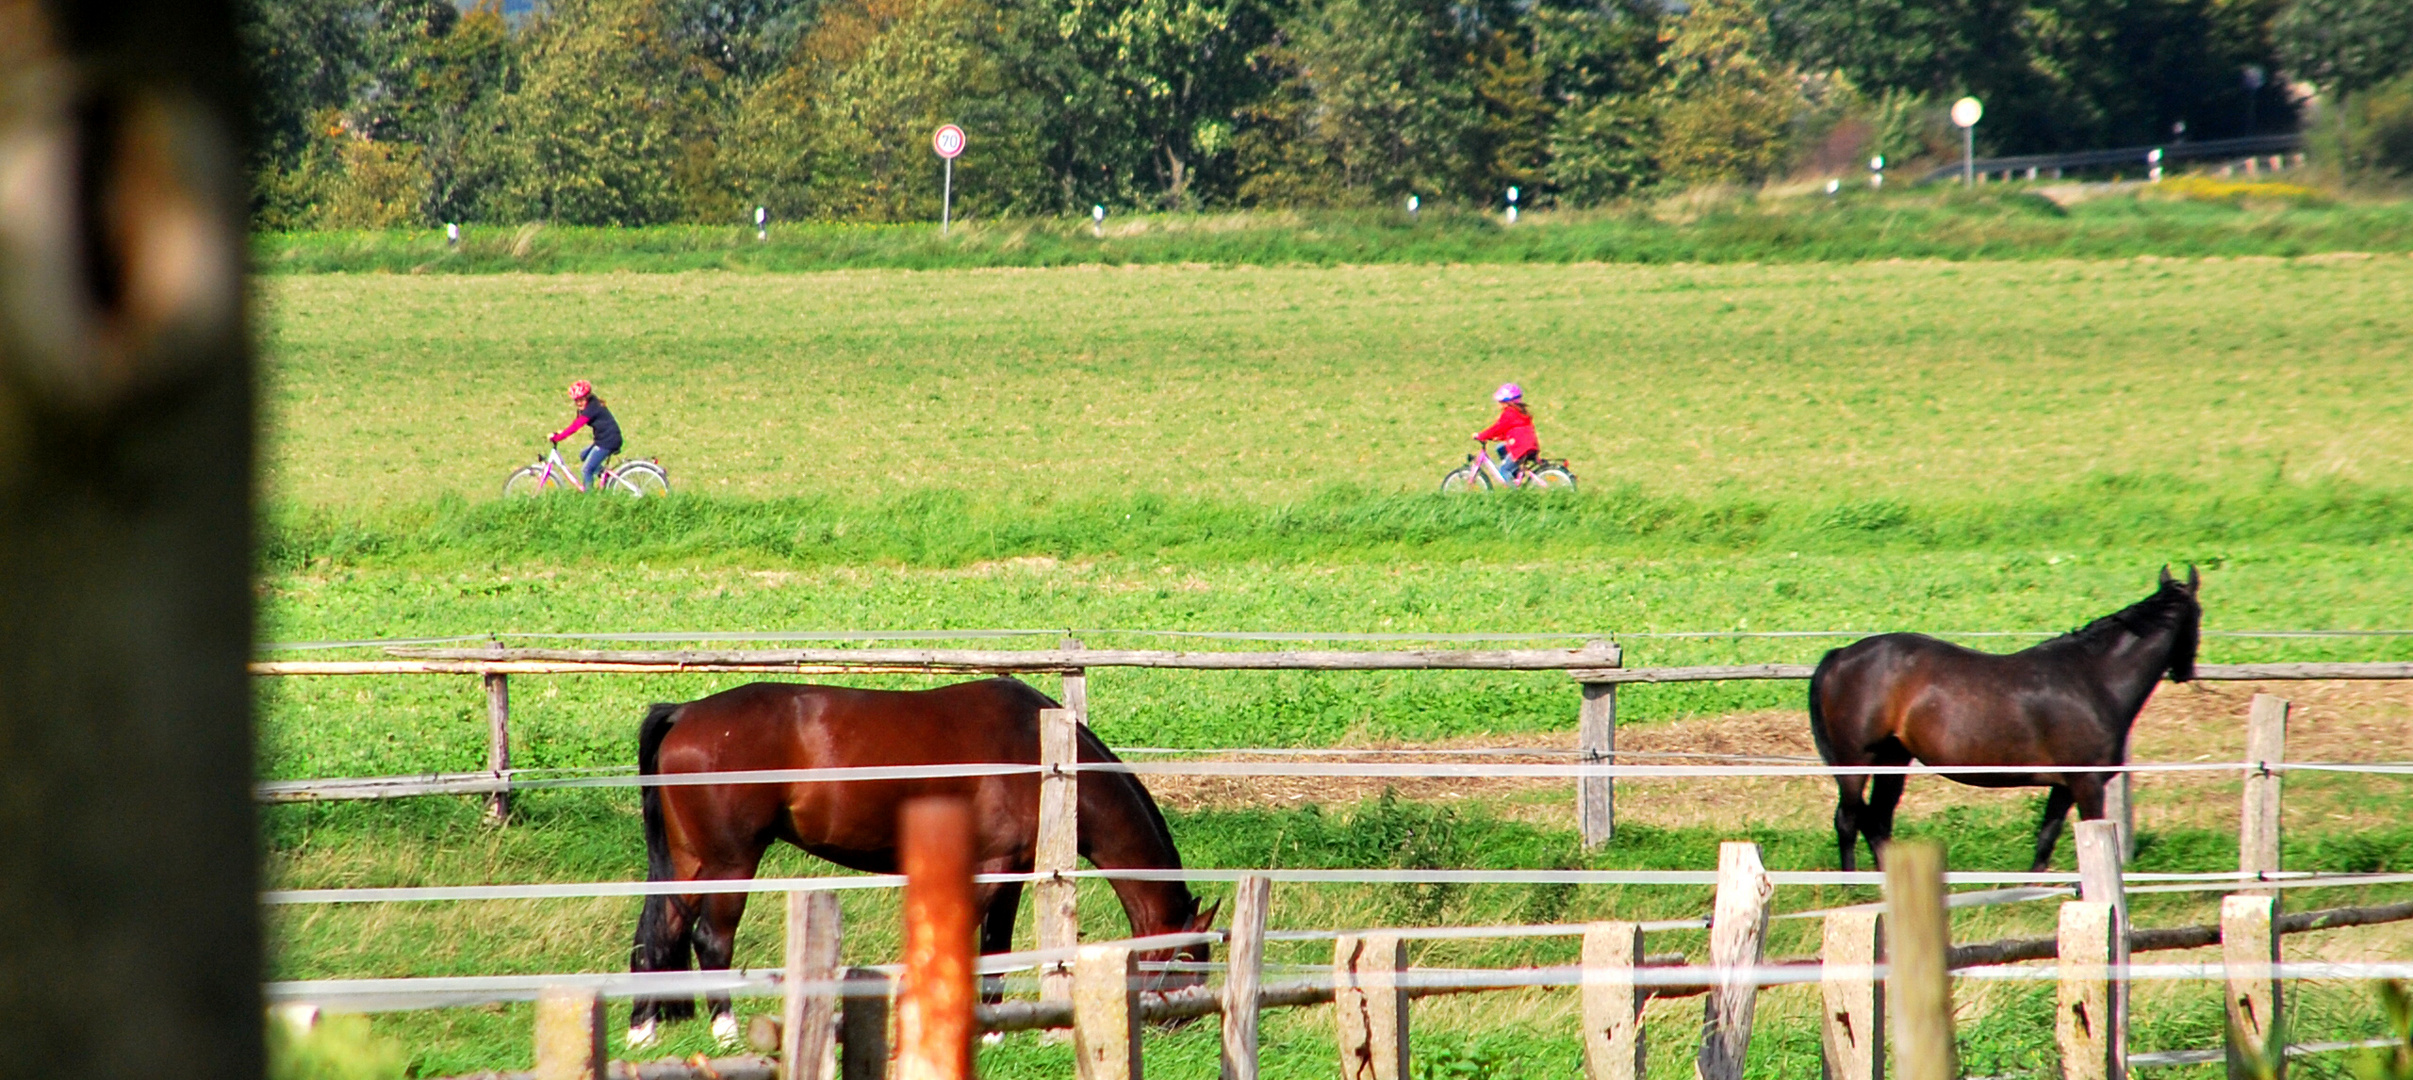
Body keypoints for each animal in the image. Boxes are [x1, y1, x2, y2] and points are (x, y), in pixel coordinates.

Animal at [627, 675, 1216, 1046]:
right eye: (1190, 960)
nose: (1183, 1025)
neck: (1040, 751)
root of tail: (684, 713)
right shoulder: (991, 868)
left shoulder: (1011, 871)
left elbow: (996, 947)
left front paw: (994, 1027)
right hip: (730, 862)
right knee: (710, 939)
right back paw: (724, 1030)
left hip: (691, 860)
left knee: (660, 932)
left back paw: (642, 1029)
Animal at [1814, 568, 2210, 872]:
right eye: (2200, 614)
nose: (2186, 672)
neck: (2095, 678)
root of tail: (1841, 655)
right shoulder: (2087, 783)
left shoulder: (2064, 785)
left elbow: (2047, 838)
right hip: (1856, 762)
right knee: (1848, 820)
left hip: (1893, 759)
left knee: (1878, 821)